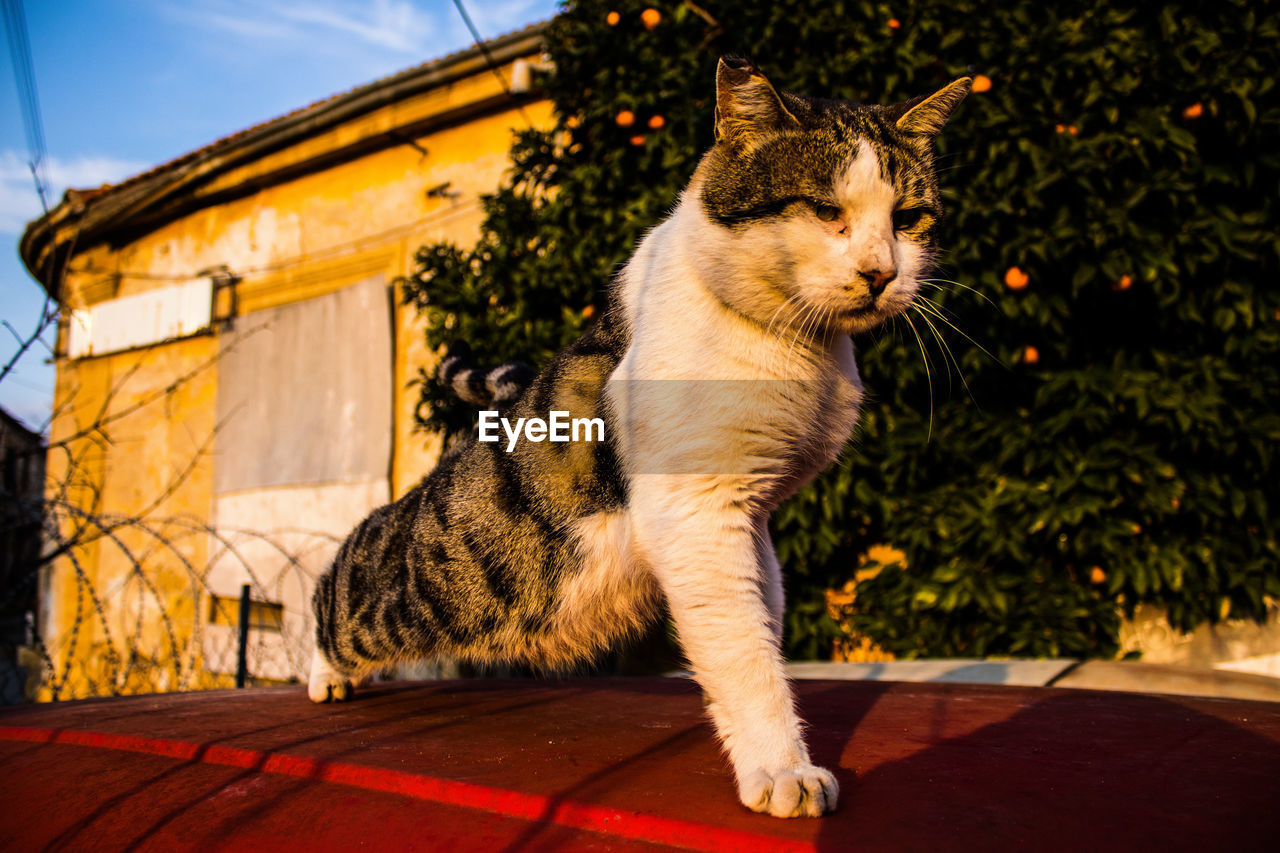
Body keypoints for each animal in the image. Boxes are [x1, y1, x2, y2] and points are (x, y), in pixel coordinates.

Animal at [312, 58, 967, 819]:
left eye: (908, 218)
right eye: (825, 210)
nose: (881, 272)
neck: (801, 350)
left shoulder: (755, 517)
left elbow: (762, 625)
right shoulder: (698, 511)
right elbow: (742, 649)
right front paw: (783, 768)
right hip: (413, 591)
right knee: (342, 579)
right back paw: (327, 674)